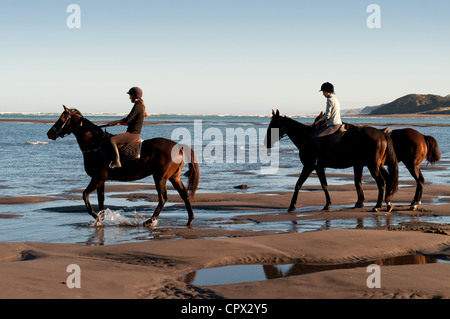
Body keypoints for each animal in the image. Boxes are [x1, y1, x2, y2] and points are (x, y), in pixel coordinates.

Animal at [47, 107, 199, 228]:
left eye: (62, 118)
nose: (49, 133)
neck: (95, 144)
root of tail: (178, 146)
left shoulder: (98, 178)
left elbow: (85, 196)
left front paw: (96, 217)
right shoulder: (101, 180)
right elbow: (101, 200)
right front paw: (100, 219)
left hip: (160, 178)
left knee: (163, 198)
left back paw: (150, 221)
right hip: (174, 177)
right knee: (184, 195)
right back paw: (190, 220)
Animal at [266, 110, 400, 212]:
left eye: (273, 124)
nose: (267, 142)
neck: (307, 138)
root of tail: (382, 134)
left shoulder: (309, 166)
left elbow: (299, 184)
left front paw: (292, 205)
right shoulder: (321, 167)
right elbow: (327, 185)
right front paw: (329, 204)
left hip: (373, 166)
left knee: (381, 182)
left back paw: (378, 205)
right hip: (378, 165)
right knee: (388, 179)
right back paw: (387, 203)